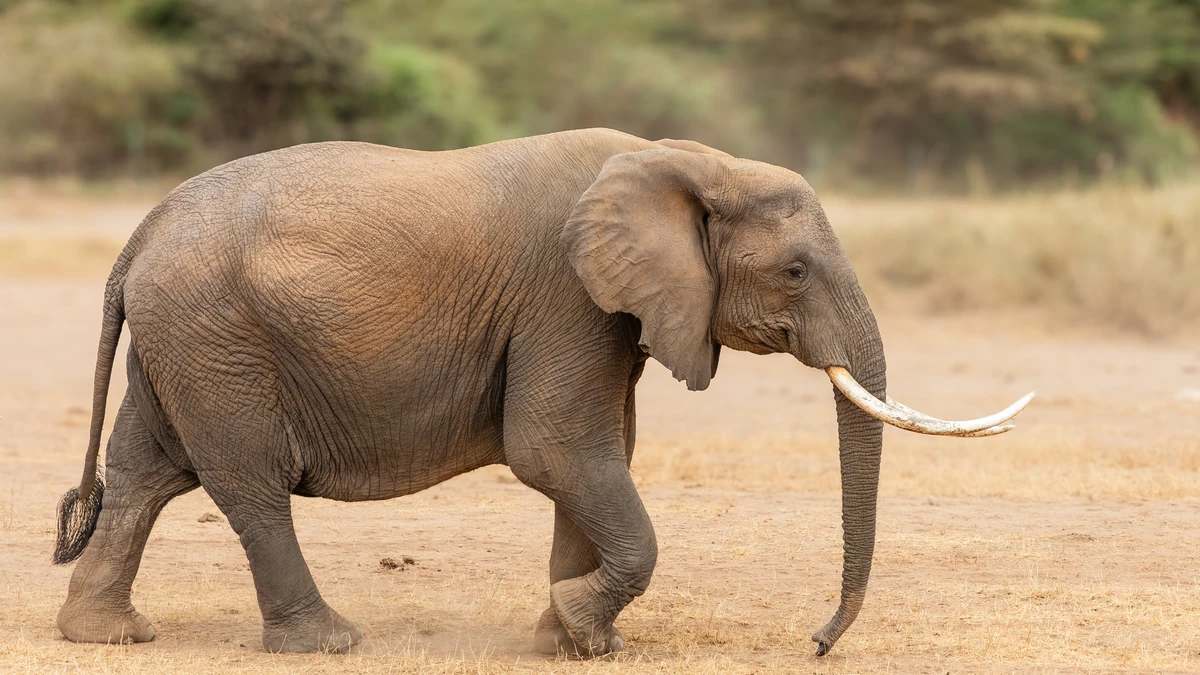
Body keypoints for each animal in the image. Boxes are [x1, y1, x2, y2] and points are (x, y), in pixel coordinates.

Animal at [52, 128, 1032, 657]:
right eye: (794, 270)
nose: (818, 643)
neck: (689, 161)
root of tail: (140, 234)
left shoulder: (603, 312)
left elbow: (597, 453)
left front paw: (568, 640)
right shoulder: (566, 296)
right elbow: (557, 447)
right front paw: (579, 628)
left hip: (184, 339)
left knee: (146, 471)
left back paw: (107, 634)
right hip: (218, 338)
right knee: (249, 483)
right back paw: (330, 642)